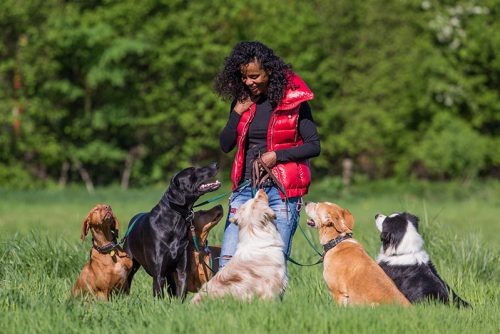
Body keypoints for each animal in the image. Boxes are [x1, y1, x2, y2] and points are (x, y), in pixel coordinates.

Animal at [124, 163, 220, 298]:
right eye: (193, 170)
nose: (215, 164)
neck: (174, 222)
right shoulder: (158, 274)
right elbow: (159, 295)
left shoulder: (182, 270)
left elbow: (180, 294)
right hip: (129, 263)